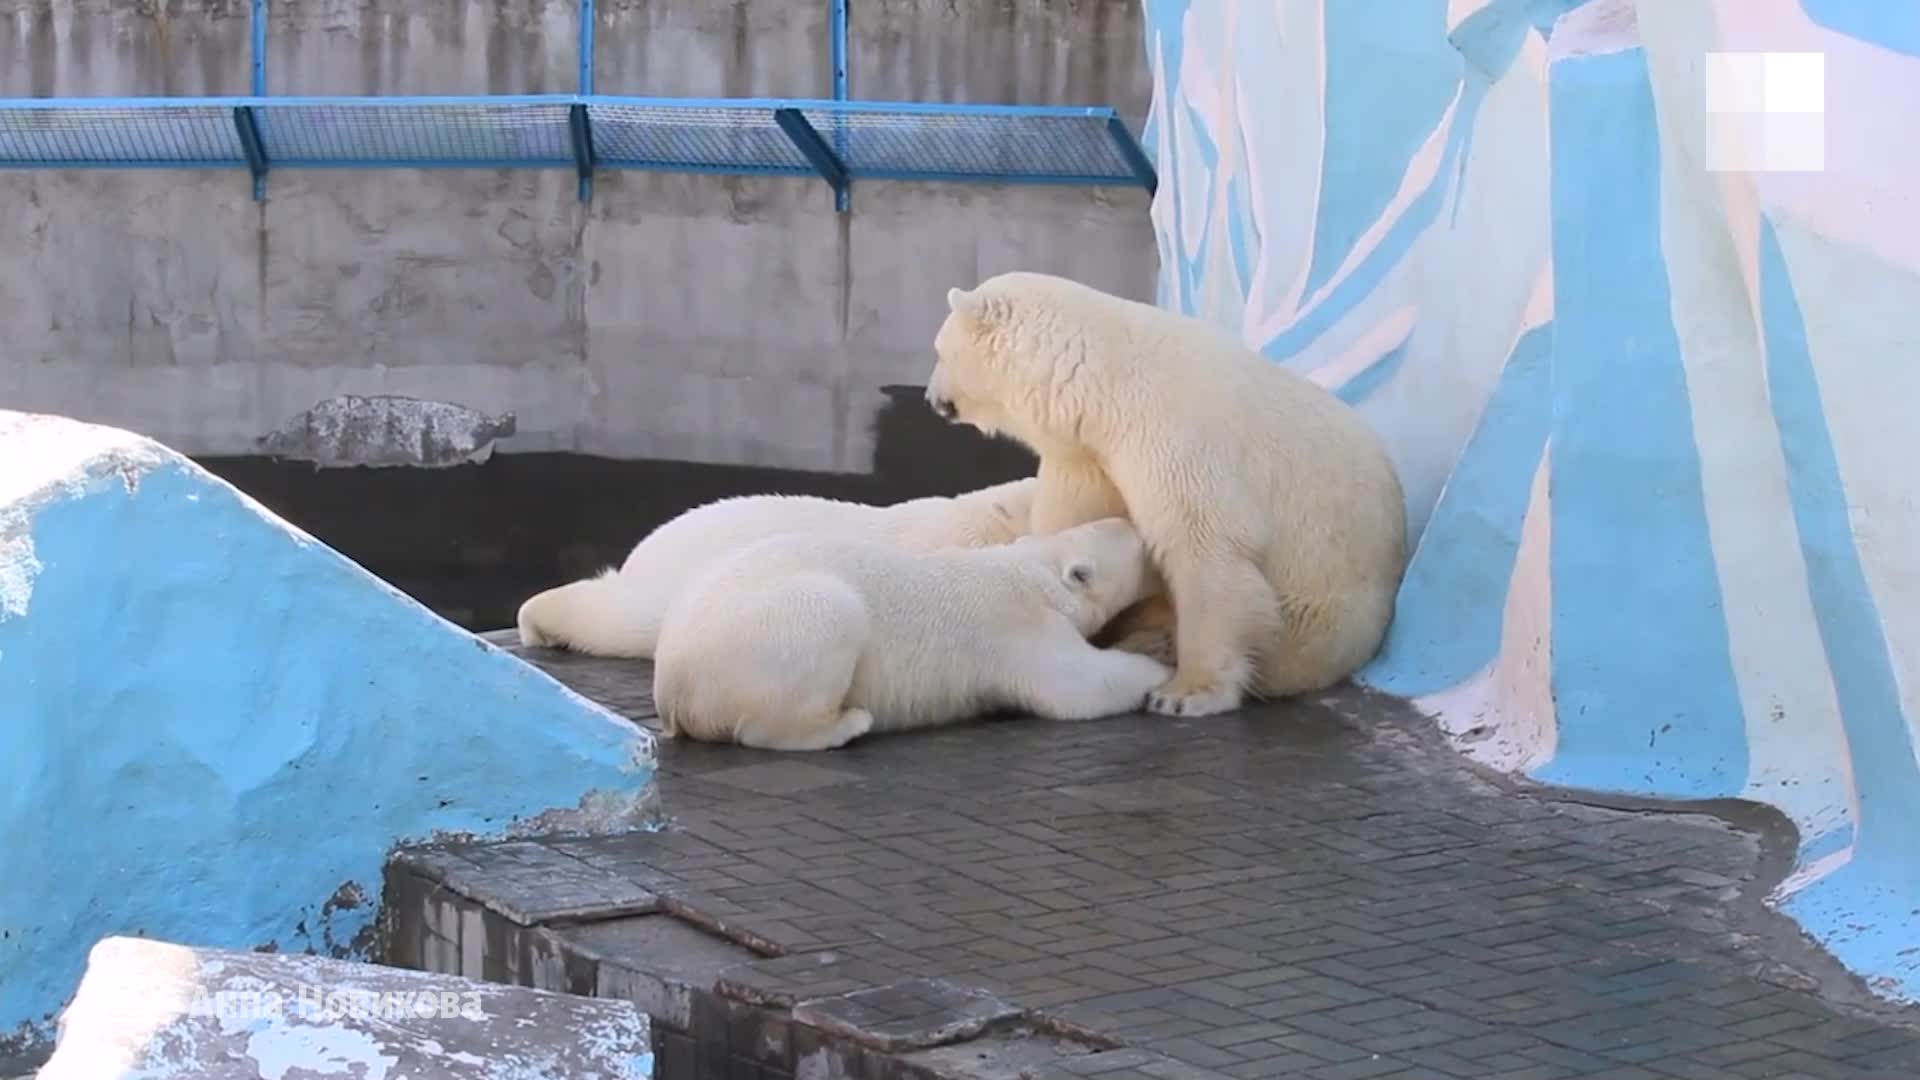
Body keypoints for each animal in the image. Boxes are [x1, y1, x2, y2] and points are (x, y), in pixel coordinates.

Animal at [652, 515, 1167, 749]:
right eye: (1132, 540)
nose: (1130, 520)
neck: (1030, 570)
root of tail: (671, 689)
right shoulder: (1019, 628)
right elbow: (1078, 685)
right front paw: (1160, 668)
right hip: (766, 630)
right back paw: (848, 723)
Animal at [921, 269, 1405, 714]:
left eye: (939, 350)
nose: (929, 398)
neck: (1106, 382)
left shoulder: (1174, 435)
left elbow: (1204, 545)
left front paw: (1184, 693)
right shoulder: (1089, 454)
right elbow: (1078, 519)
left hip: (1321, 605)